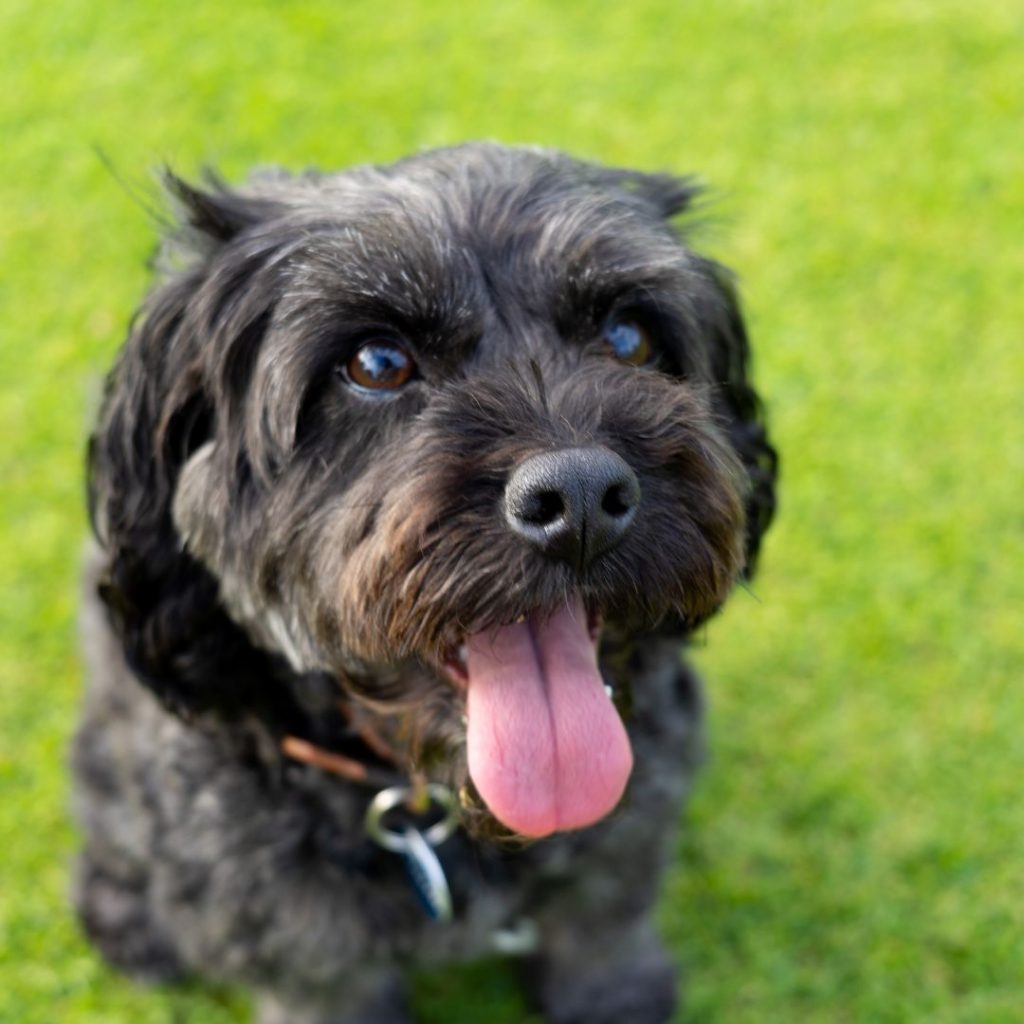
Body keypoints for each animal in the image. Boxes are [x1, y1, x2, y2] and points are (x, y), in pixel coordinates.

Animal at [72, 144, 774, 1024]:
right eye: (376, 363)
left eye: (628, 336)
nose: (580, 497)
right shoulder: (308, 956)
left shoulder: (623, 846)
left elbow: (601, 931)